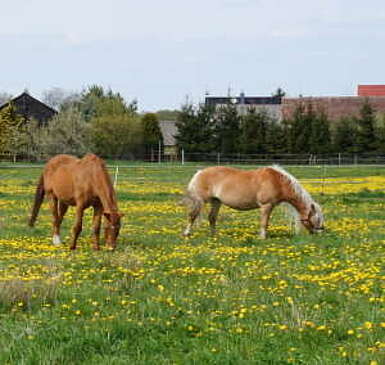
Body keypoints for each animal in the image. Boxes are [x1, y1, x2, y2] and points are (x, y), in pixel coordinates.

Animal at [182, 164, 322, 237]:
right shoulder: (266, 205)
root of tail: (200, 172)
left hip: (216, 201)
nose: (318, 234)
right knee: (192, 216)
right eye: (316, 219)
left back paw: (213, 235)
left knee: (212, 218)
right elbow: (264, 223)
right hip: (200, 201)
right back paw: (187, 233)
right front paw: (263, 238)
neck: (277, 181)